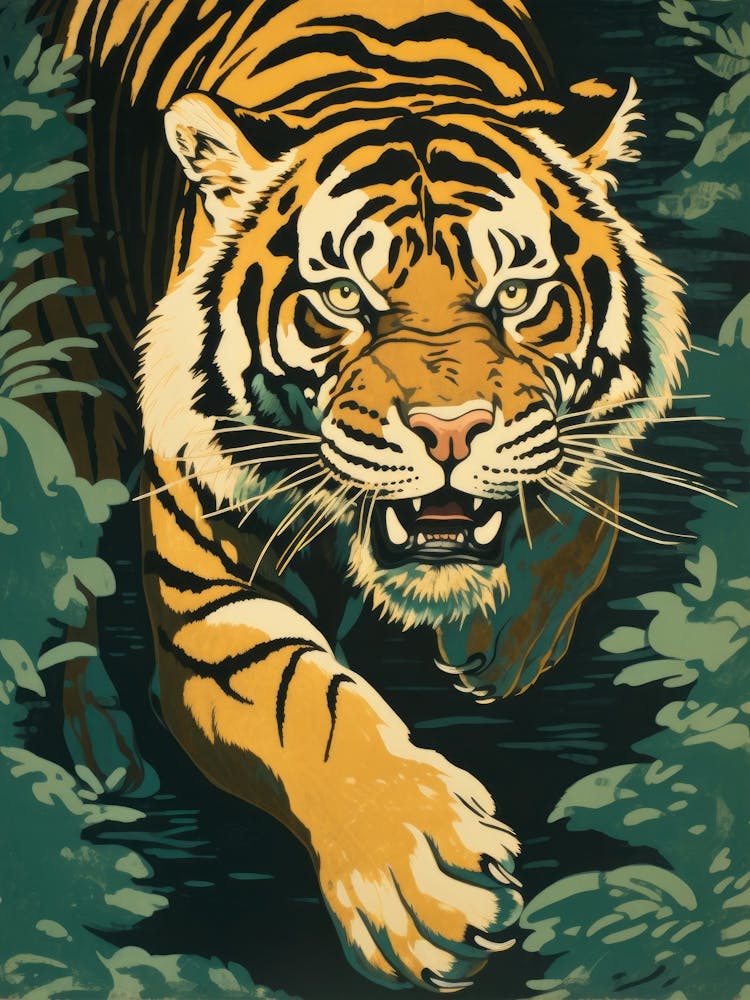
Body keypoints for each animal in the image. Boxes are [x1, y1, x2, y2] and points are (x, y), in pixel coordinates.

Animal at [41, 0, 689, 992]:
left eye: (516, 292)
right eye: (344, 296)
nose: (451, 431)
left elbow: (579, 502)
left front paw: (502, 643)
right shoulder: (206, 590)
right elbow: (298, 696)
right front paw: (420, 879)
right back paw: (104, 754)